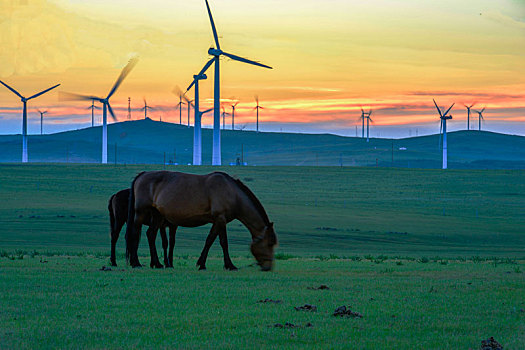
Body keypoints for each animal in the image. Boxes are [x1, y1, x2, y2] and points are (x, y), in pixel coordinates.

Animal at [125, 172, 276, 270]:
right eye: (269, 244)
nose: (268, 267)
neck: (232, 193)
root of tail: (142, 175)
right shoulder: (219, 219)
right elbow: (213, 241)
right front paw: (203, 264)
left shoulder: (221, 221)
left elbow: (220, 242)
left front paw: (227, 265)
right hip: (140, 212)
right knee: (135, 234)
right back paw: (136, 263)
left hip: (157, 215)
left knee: (150, 234)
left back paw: (157, 263)